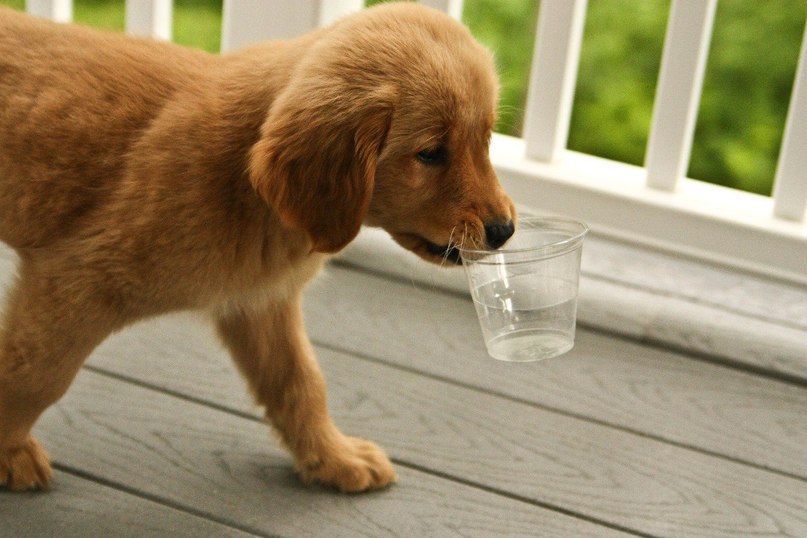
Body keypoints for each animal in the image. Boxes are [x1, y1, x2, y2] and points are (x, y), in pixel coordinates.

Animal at [0, 3, 516, 490]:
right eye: (430, 153)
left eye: (486, 139)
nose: (504, 230)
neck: (246, 186)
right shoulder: (77, 278)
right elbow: (36, 376)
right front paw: (10, 451)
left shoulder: (258, 300)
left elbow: (300, 383)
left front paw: (333, 458)